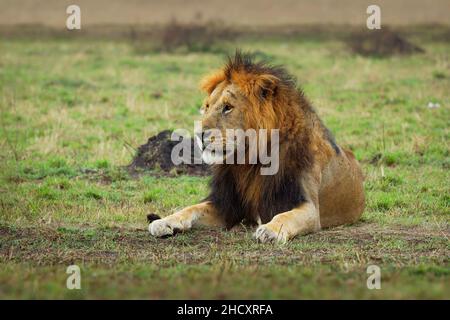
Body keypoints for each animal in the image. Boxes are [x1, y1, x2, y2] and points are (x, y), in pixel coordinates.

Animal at [149, 51, 366, 244]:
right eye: (207, 107)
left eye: (227, 107)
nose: (198, 134)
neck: (250, 160)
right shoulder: (227, 207)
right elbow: (191, 208)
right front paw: (163, 221)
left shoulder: (309, 207)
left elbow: (285, 216)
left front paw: (270, 230)